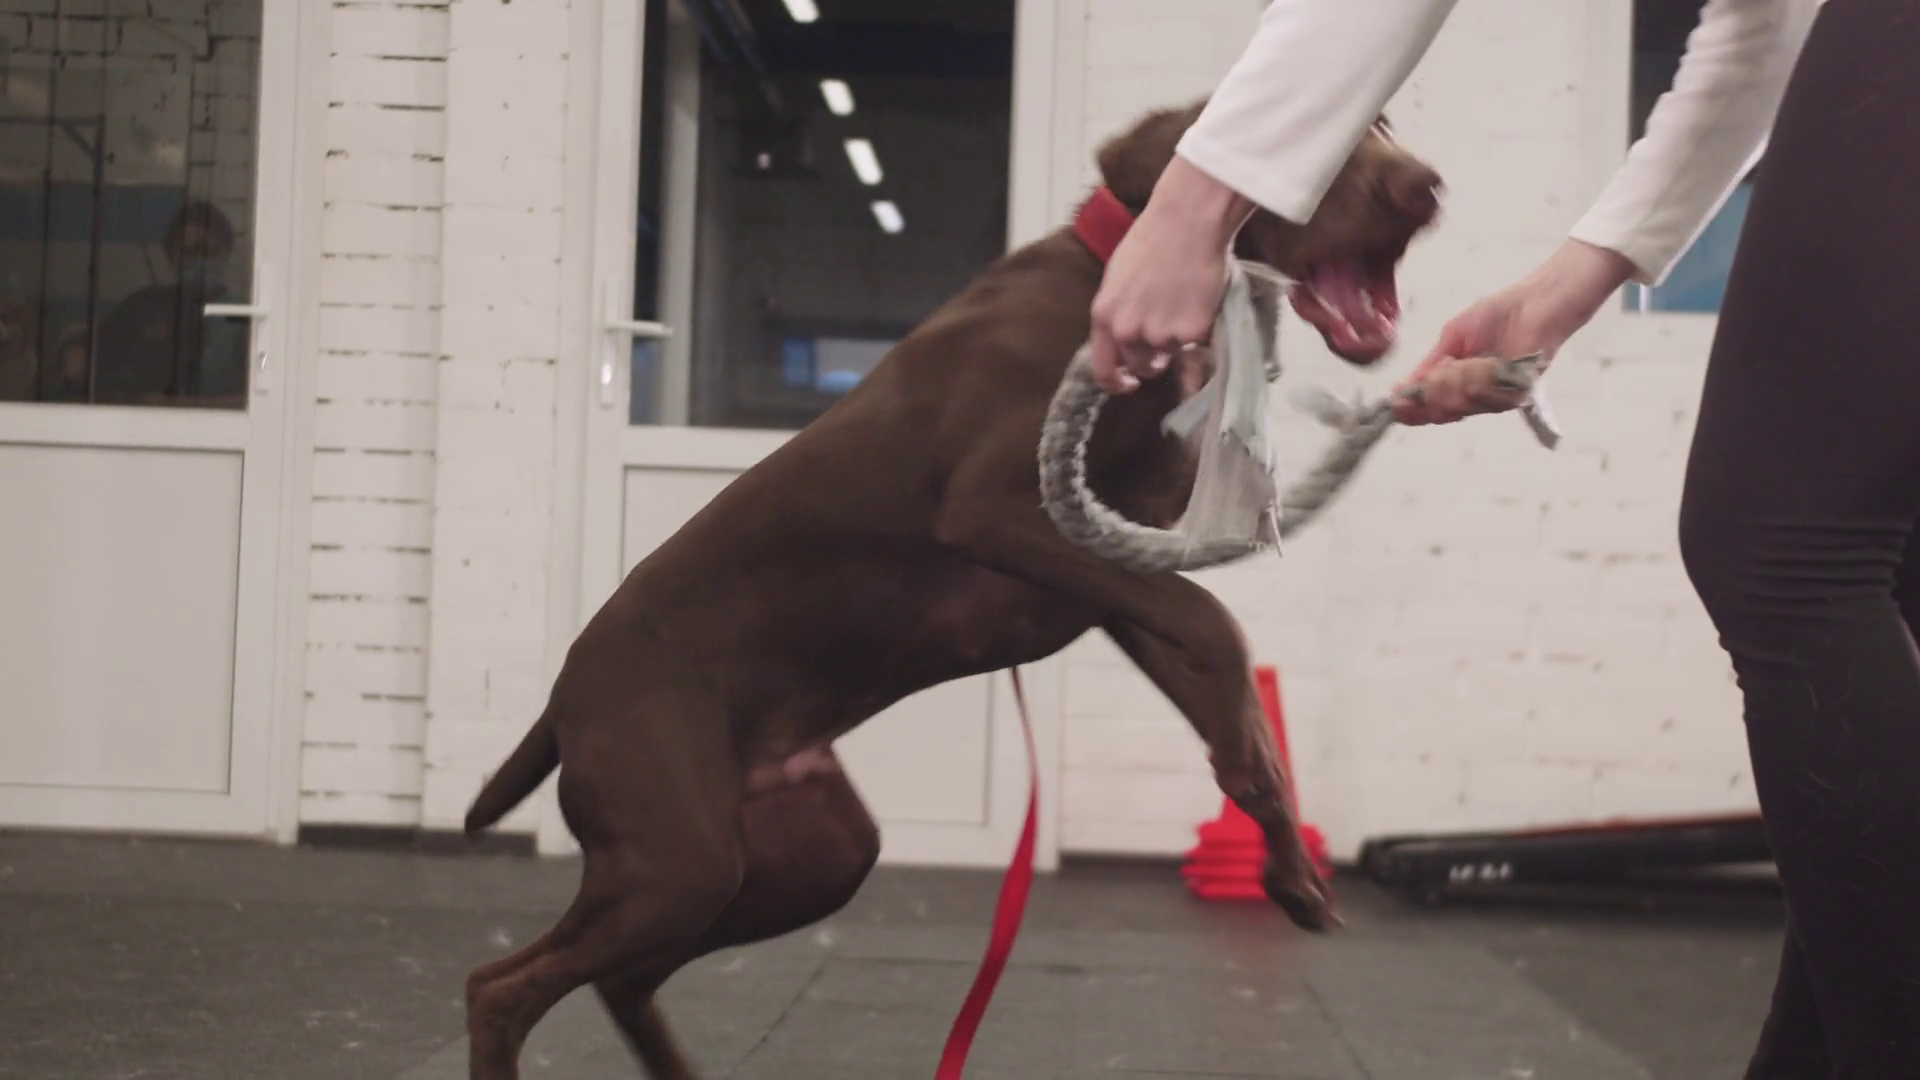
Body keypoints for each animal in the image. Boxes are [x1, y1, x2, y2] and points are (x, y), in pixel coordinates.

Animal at [460, 100, 1443, 1080]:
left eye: (1388, 126)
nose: (1425, 186)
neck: (1111, 272)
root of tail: (562, 700)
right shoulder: (1001, 511)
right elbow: (1217, 626)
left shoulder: (1119, 568)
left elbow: (1220, 674)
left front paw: (1284, 857)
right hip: (678, 857)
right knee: (500, 987)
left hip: (803, 853)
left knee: (621, 978)